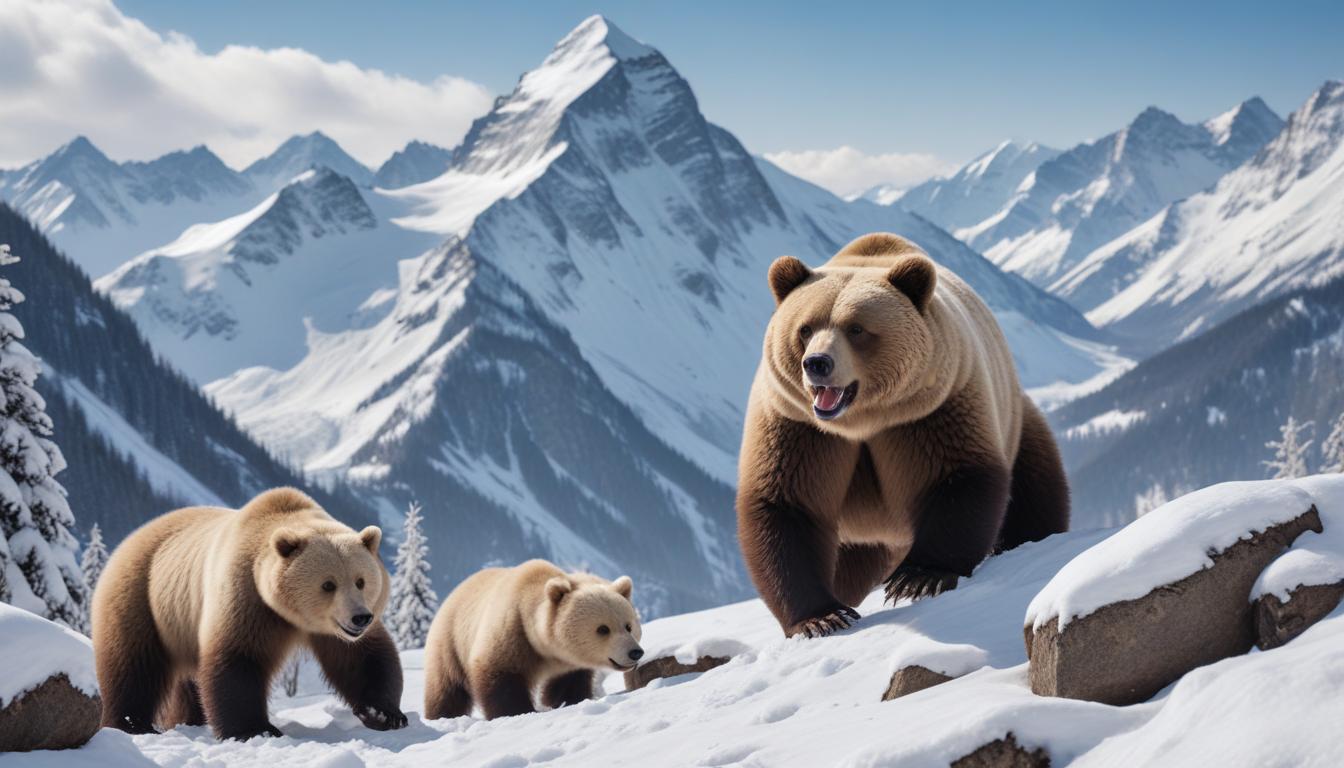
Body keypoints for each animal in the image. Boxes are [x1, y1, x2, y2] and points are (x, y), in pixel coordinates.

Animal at [91, 487, 408, 740]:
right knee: (132, 664)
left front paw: (384, 713)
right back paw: (132, 723)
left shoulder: (332, 630)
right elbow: (239, 658)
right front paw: (255, 729)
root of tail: (130, 539)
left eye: (361, 581)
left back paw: (190, 718)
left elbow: (363, 657)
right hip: (142, 597)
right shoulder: (248, 598)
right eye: (328, 584)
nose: (360, 617)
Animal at [423, 559, 642, 721]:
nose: (635, 652)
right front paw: (517, 711)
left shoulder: (569, 665)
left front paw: (568, 700)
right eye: (603, 629)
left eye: (628, 626)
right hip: (450, 643)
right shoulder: (512, 634)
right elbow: (500, 677)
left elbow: (568, 685)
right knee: (447, 688)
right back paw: (442, 716)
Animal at [737, 232, 1069, 638]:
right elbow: (787, 505)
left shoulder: (931, 411)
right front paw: (822, 617)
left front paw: (918, 578)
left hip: (1015, 420)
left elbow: (956, 477)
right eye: (805, 328)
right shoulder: (798, 425)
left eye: (856, 329)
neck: (861, 421)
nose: (817, 364)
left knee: (1033, 488)